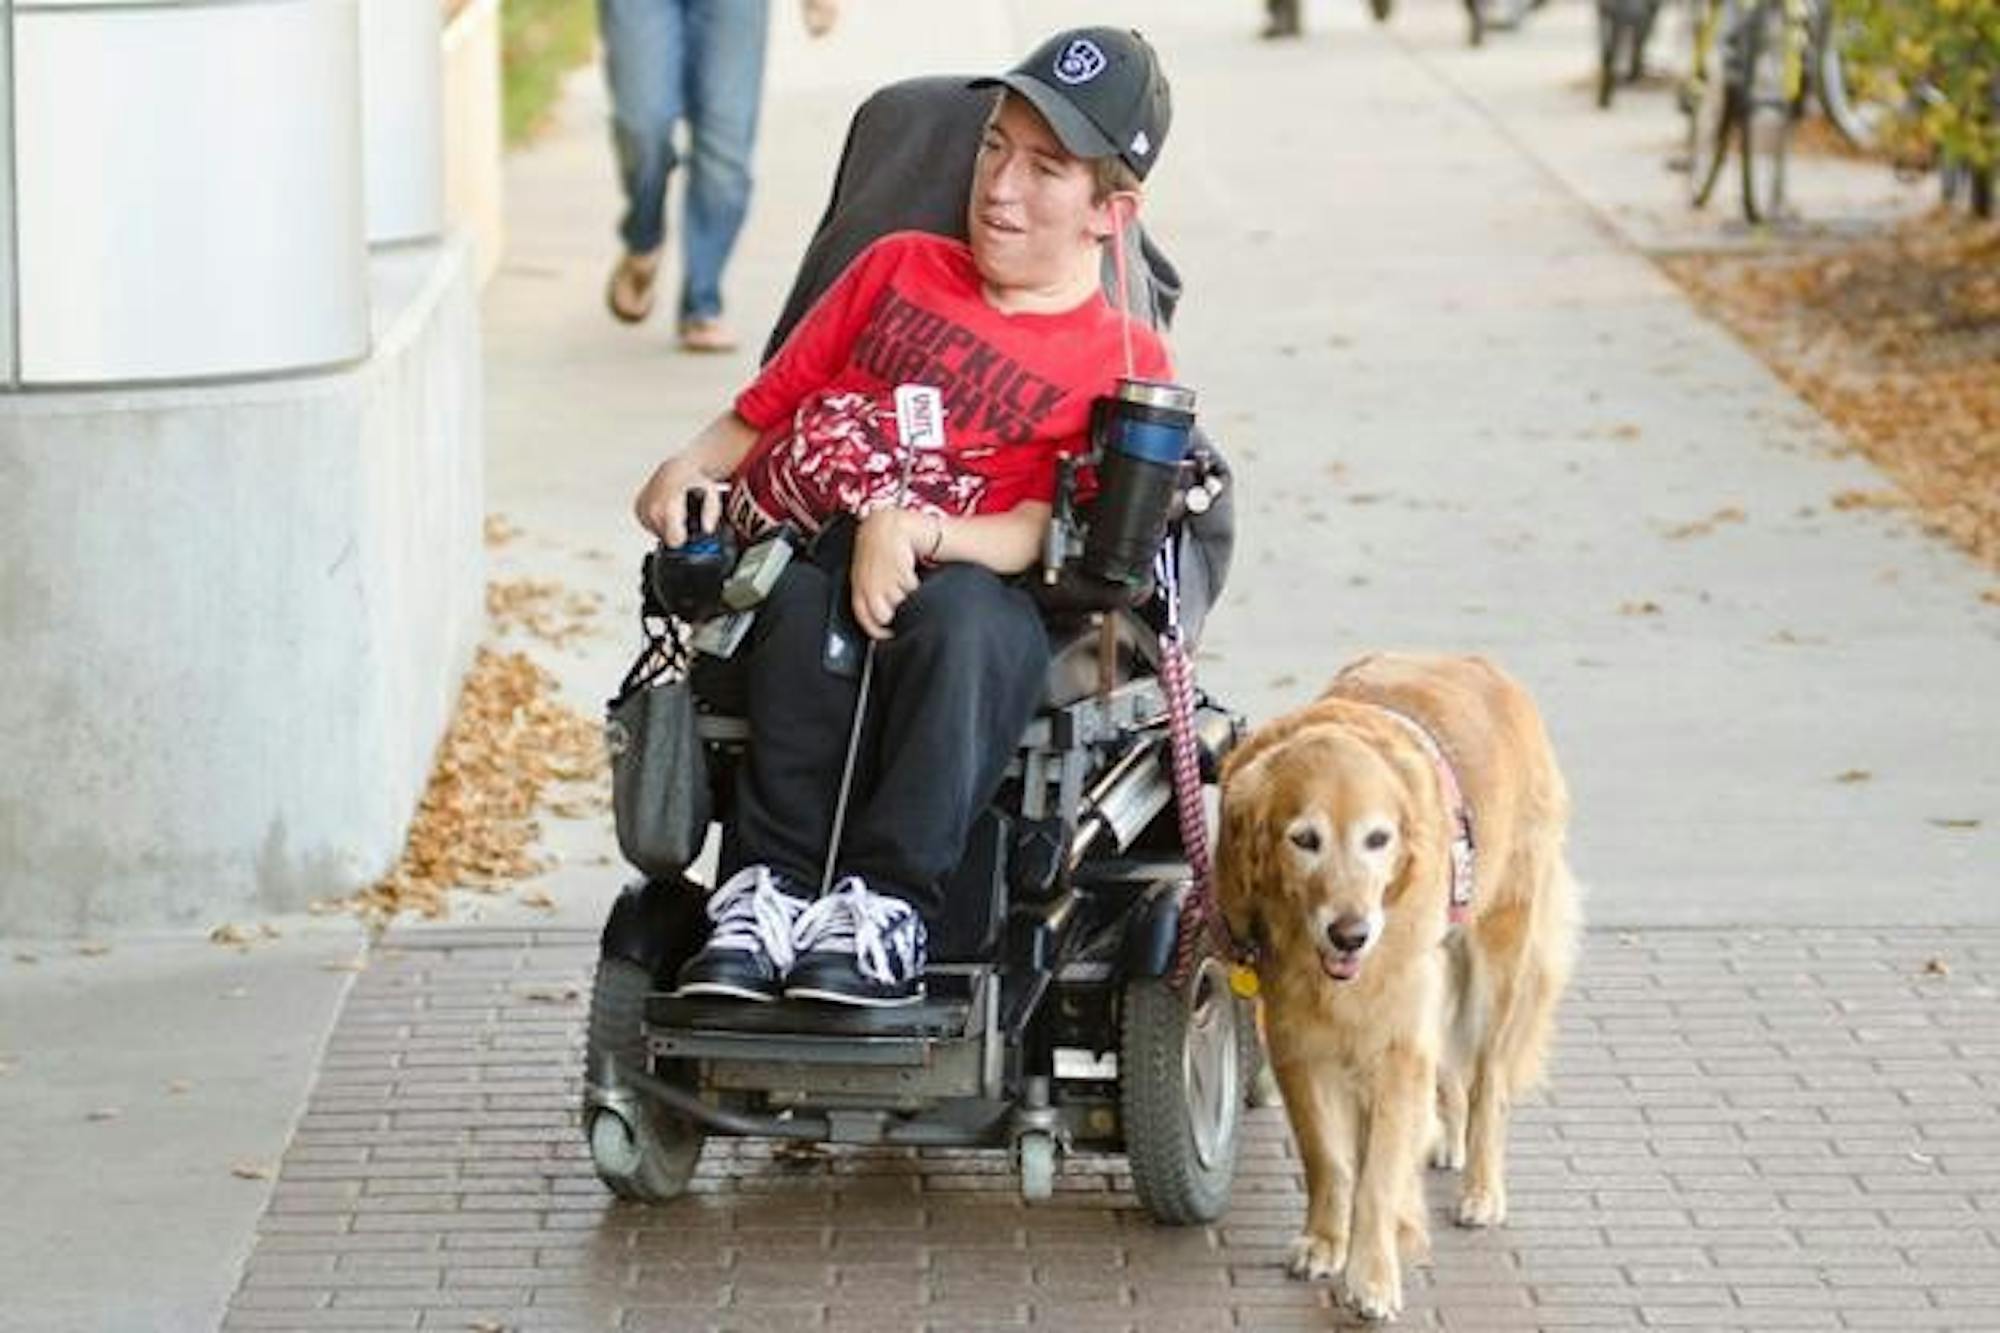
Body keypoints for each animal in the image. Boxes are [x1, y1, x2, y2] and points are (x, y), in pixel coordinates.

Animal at [1216, 648, 1576, 1312]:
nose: (1350, 934)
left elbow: (1378, 1174)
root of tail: (1485, 666)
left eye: (1378, 839)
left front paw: (1373, 1273)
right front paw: (1326, 1241)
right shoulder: (1298, 1039)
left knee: (1488, 1081)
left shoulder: (1395, 1040)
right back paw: (1447, 1139)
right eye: (1304, 840)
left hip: (1497, 961)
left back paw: (1481, 1188)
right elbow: (1329, 1158)